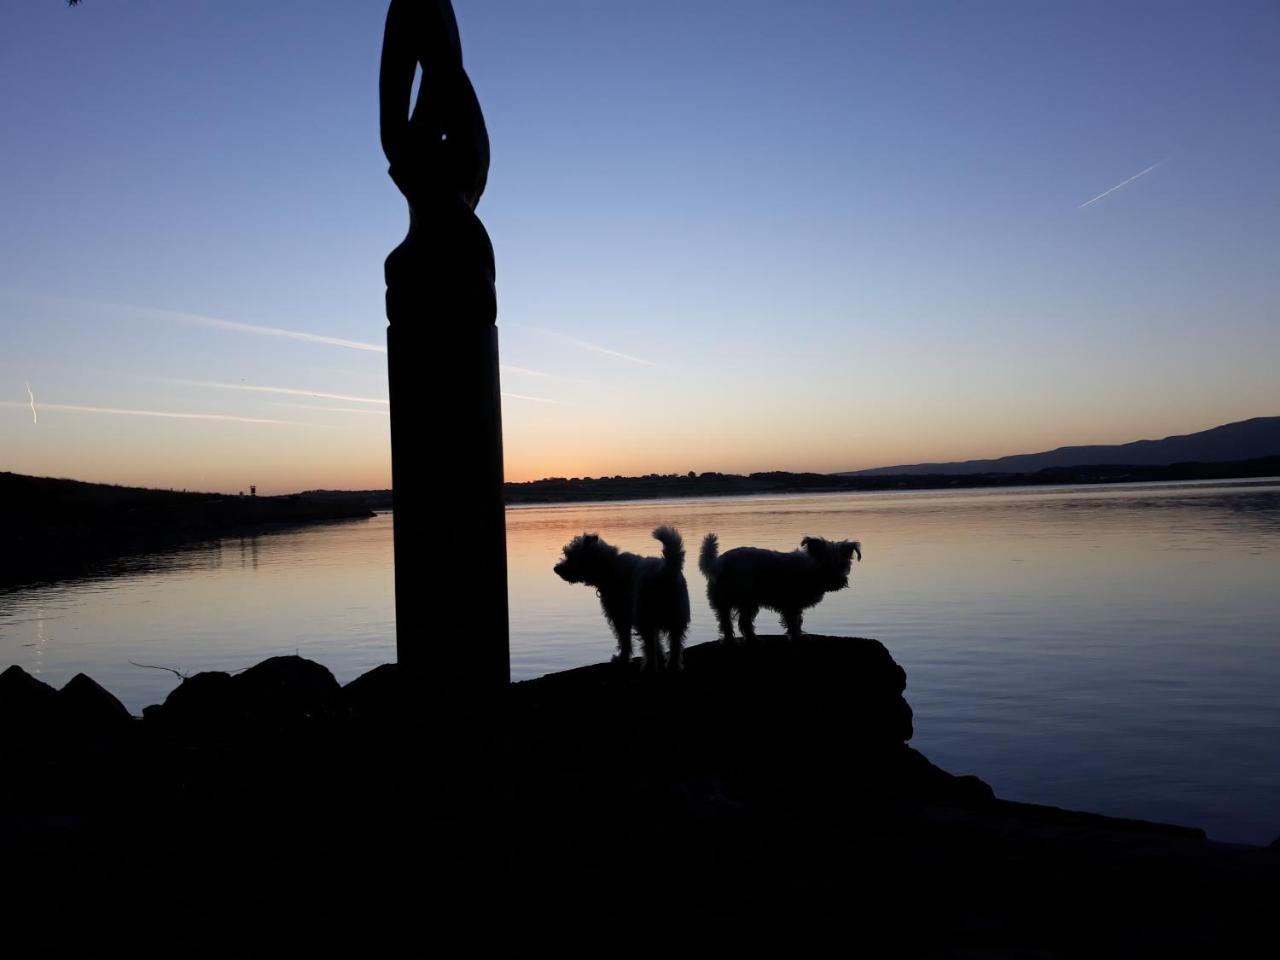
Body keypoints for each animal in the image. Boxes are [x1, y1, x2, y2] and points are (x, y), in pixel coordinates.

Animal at [552, 529, 691, 670]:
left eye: (571, 555)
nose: (556, 568)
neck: (609, 566)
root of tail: (665, 572)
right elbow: (657, 642)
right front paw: (661, 657)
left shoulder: (619, 616)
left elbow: (625, 640)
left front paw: (622, 659)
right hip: (676, 619)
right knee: (675, 645)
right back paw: (673, 665)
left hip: (645, 617)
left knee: (650, 646)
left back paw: (649, 666)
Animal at [696, 537, 865, 642]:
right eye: (825, 565)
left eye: (842, 565)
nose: (838, 580)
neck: (811, 569)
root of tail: (719, 563)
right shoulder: (791, 604)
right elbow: (794, 623)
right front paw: (797, 638)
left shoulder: (794, 606)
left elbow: (797, 621)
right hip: (746, 600)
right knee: (739, 621)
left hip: (731, 603)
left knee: (729, 622)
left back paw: (741, 640)